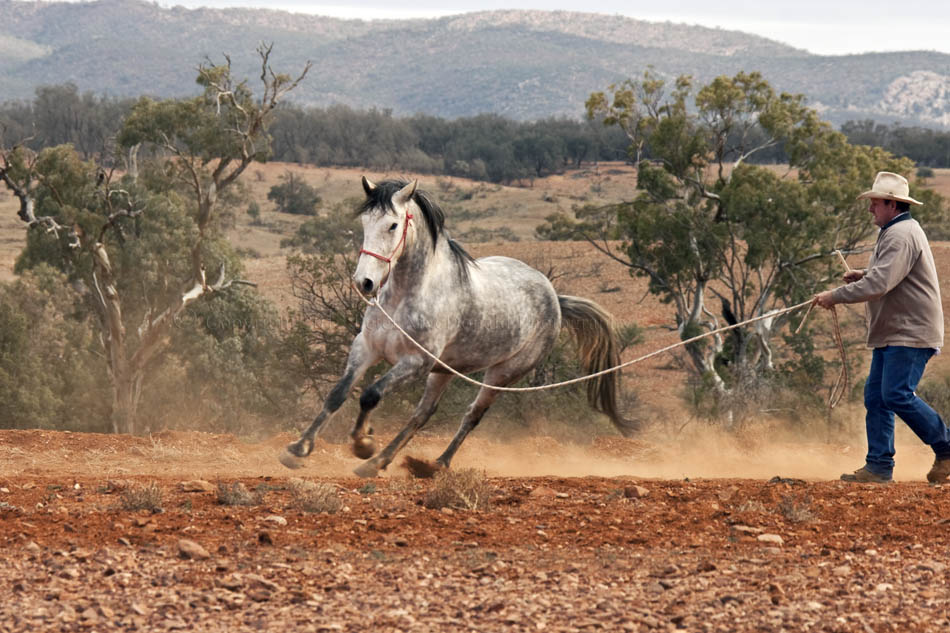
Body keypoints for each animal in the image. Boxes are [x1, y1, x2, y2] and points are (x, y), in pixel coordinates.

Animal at [280, 175, 640, 476]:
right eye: (365, 222)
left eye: (393, 225)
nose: (364, 283)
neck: (408, 295)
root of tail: (554, 297)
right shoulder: (367, 347)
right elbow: (338, 394)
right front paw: (299, 449)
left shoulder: (415, 362)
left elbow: (370, 394)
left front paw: (362, 442)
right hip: (445, 370)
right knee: (422, 414)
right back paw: (379, 463)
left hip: (501, 375)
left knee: (471, 416)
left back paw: (433, 463)